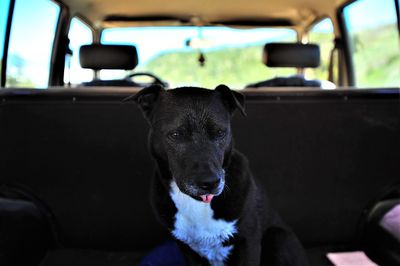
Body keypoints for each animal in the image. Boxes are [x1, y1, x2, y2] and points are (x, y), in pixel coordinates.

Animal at [133, 85, 308, 266]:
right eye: (176, 134)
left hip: (278, 238)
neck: (198, 204)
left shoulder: (249, 243)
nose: (210, 183)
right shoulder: (186, 248)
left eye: (220, 132)